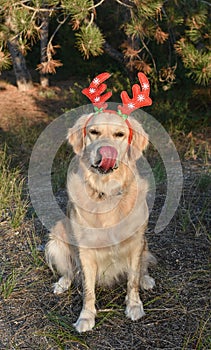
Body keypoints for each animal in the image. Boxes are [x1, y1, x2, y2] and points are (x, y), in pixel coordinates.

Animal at [45, 110, 156, 332]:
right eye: (94, 132)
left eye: (120, 134)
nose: (106, 152)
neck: (106, 191)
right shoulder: (85, 251)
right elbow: (88, 289)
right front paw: (86, 317)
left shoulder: (135, 243)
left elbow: (133, 279)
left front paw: (134, 306)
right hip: (58, 236)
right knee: (69, 270)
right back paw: (62, 283)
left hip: (144, 242)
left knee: (143, 266)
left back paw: (146, 279)